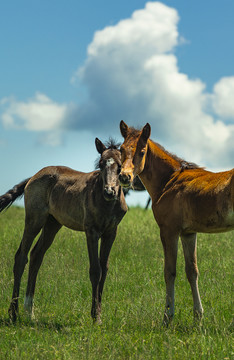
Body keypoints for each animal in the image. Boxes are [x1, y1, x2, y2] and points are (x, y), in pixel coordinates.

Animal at [0, 138, 128, 324]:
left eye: (119, 166)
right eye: (101, 164)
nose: (109, 191)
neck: (107, 203)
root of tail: (33, 177)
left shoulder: (111, 232)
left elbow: (104, 270)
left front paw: (99, 315)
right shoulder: (91, 231)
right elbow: (95, 270)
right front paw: (94, 317)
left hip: (52, 223)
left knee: (36, 256)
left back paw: (29, 311)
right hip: (34, 219)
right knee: (21, 257)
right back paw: (13, 313)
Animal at [119, 120, 234, 324]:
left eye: (142, 150)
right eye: (121, 149)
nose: (125, 177)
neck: (169, 181)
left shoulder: (168, 231)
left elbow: (169, 271)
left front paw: (167, 317)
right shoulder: (188, 233)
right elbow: (192, 271)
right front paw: (198, 317)